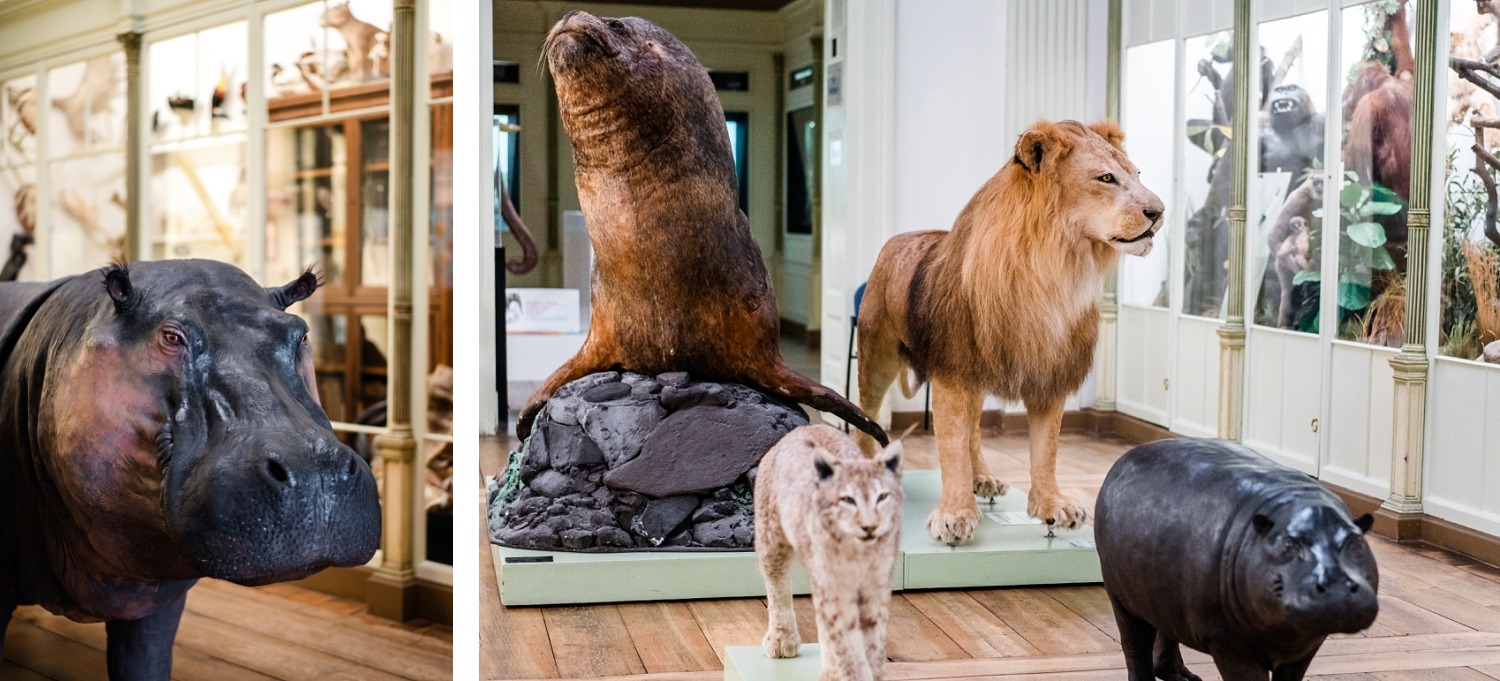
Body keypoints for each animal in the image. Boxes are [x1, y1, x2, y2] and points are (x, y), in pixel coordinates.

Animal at [858, 120, 1158, 546]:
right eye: (1106, 178)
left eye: (1137, 175)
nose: (1159, 212)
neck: (1055, 269)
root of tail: (901, 237)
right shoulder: (953, 371)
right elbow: (950, 446)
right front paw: (955, 514)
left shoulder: (1049, 372)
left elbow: (1045, 448)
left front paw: (1052, 505)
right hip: (877, 357)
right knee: (865, 413)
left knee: (974, 431)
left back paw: (983, 478)